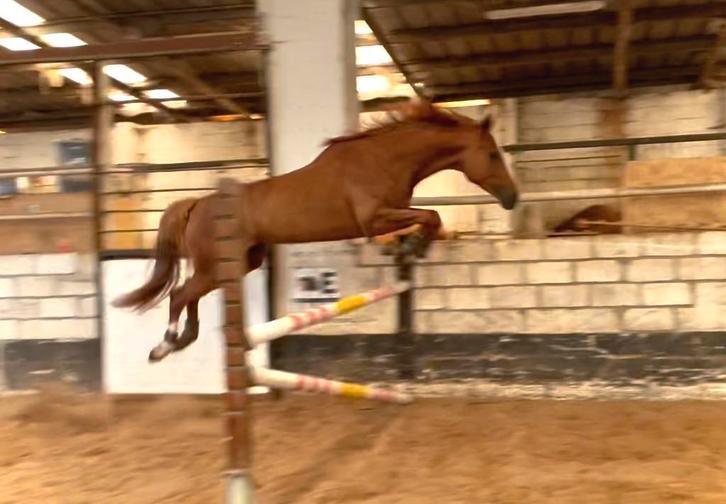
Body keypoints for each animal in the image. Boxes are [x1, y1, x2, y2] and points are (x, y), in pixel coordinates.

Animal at [113, 99, 519, 362]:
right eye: (492, 154)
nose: (512, 198)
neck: (385, 159)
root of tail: (197, 204)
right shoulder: (373, 220)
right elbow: (431, 214)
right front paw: (415, 246)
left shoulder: (389, 215)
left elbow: (428, 218)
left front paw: (411, 248)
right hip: (217, 266)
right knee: (179, 294)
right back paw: (164, 347)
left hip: (239, 264)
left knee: (189, 295)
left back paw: (186, 339)